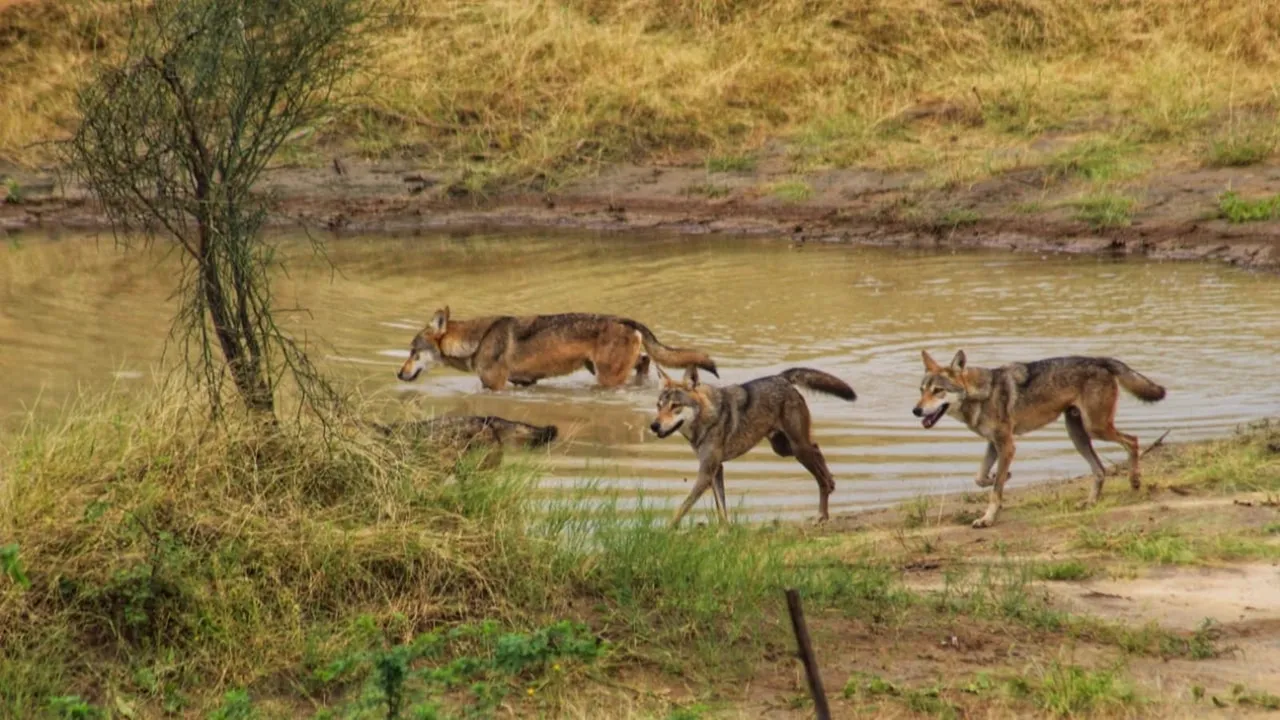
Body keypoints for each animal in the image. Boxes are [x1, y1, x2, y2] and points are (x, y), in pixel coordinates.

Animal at [397, 307, 718, 391]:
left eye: (413, 352)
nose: (399, 375)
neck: (477, 340)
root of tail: (626, 319)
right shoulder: (525, 383)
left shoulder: (496, 387)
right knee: (644, 362)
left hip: (606, 378)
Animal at [648, 366, 857, 527]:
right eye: (659, 406)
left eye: (675, 406)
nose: (654, 426)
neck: (707, 417)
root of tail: (780, 377)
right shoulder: (716, 469)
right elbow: (721, 508)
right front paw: (724, 532)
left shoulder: (706, 472)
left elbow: (682, 508)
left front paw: (665, 532)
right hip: (784, 449)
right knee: (816, 448)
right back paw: (831, 483)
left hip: (797, 449)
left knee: (819, 476)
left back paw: (822, 514)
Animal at [913, 350, 1167, 528]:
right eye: (921, 390)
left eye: (938, 391)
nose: (916, 411)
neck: (982, 394)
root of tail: (1099, 360)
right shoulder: (994, 444)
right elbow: (980, 478)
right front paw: (1000, 477)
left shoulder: (1007, 445)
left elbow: (995, 491)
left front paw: (988, 518)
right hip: (1078, 434)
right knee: (1100, 470)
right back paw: (1091, 502)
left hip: (1096, 429)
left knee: (1132, 440)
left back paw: (1135, 481)